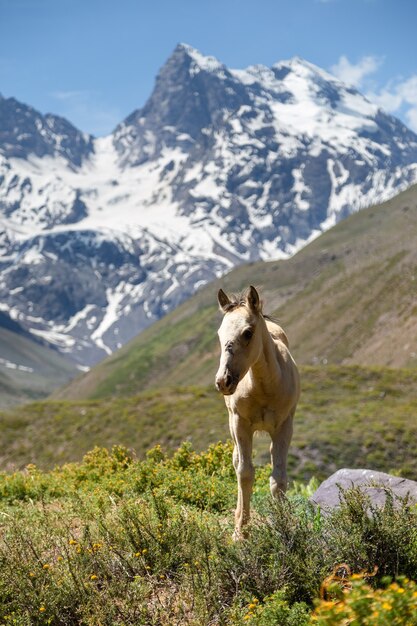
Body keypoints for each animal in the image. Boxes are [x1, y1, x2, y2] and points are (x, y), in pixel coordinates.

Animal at [214, 286, 300, 532]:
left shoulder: (284, 427)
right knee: (237, 463)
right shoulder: (240, 423)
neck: (264, 388)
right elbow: (245, 473)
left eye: (248, 333)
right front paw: (240, 532)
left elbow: (278, 479)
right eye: (219, 334)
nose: (223, 381)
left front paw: (284, 526)